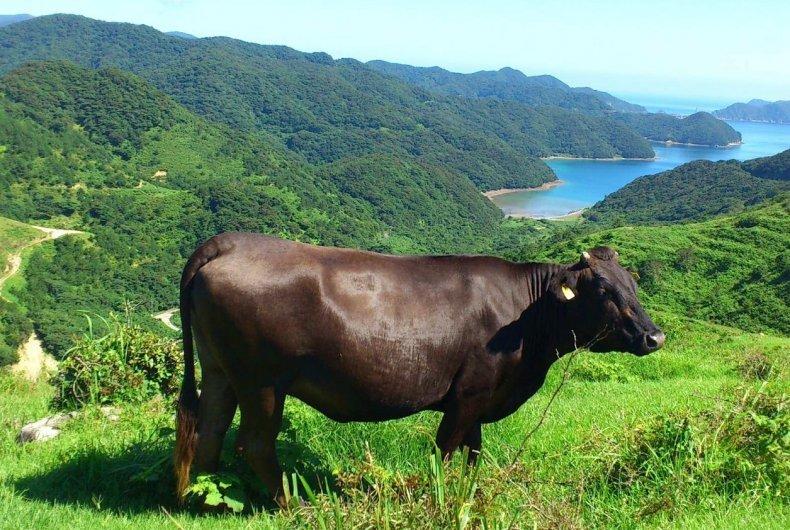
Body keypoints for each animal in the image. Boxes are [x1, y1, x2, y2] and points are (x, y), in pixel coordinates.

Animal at [172, 233, 664, 502]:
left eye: (633, 284)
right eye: (602, 290)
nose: (655, 337)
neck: (527, 318)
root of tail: (234, 241)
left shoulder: (480, 396)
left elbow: (473, 453)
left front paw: (468, 493)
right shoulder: (468, 395)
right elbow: (445, 451)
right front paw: (441, 497)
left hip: (220, 370)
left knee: (210, 430)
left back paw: (207, 498)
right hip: (262, 382)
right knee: (255, 444)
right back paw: (298, 506)